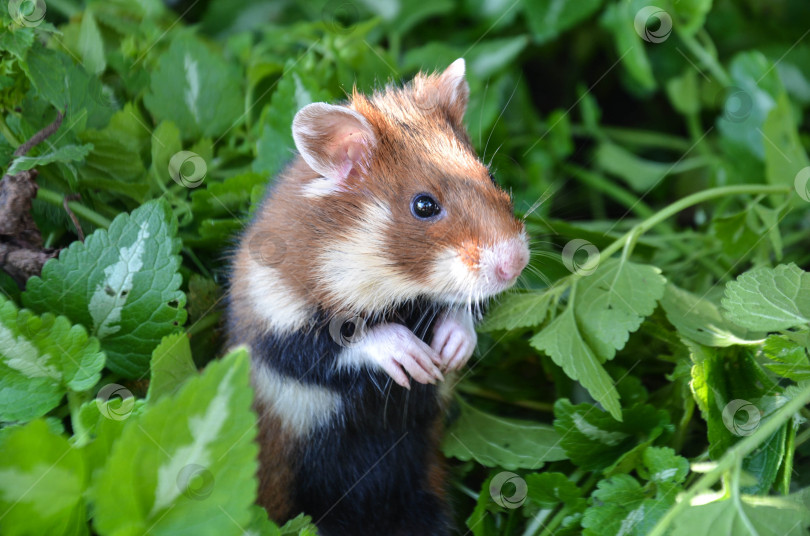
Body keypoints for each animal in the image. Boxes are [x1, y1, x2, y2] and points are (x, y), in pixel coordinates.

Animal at [226, 58, 532, 536]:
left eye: (491, 176)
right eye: (424, 205)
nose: (516, 263)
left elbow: (456, 308)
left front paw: (451, 351)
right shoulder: (274, 323)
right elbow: (340, 341)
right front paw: (417, 361)